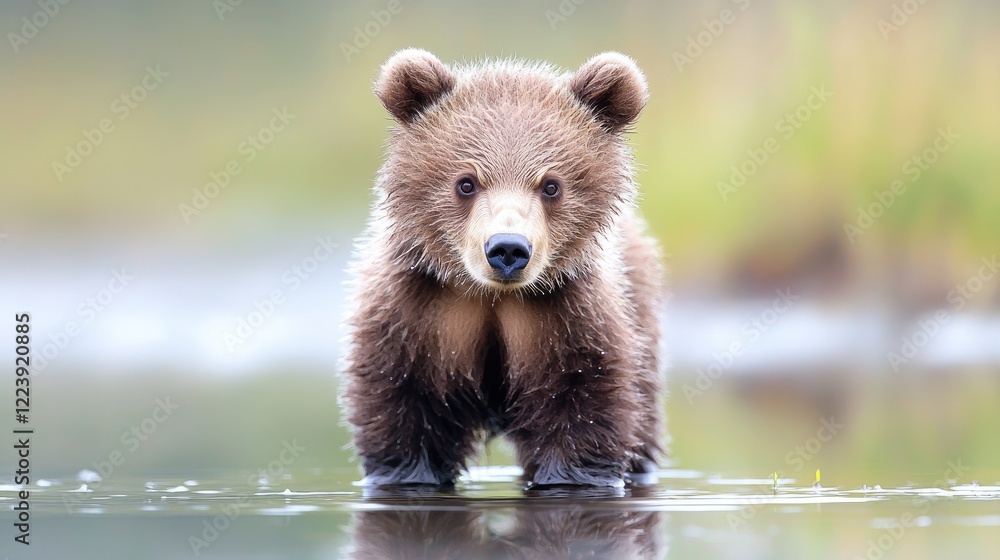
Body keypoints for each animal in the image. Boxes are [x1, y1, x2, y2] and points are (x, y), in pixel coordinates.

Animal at [342, 48, 664, 488]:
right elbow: (401, 413)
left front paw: (567, 476)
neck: (491, 297)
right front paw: (408, 471)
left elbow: (583, 408)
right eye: (466, 182)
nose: (508, 248)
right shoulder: (413, 317)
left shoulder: (569, 318)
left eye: (551, 185)